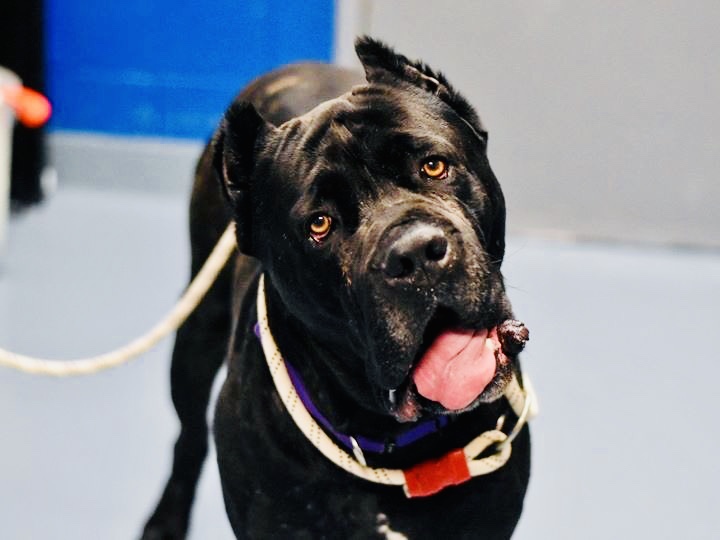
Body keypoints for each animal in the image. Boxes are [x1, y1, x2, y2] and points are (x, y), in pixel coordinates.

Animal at [141, 37, 532, 539]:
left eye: (433, 166)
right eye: (320, 224)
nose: (416, 252)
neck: (394, 444)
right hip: (194, 337)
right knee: (188, 437)